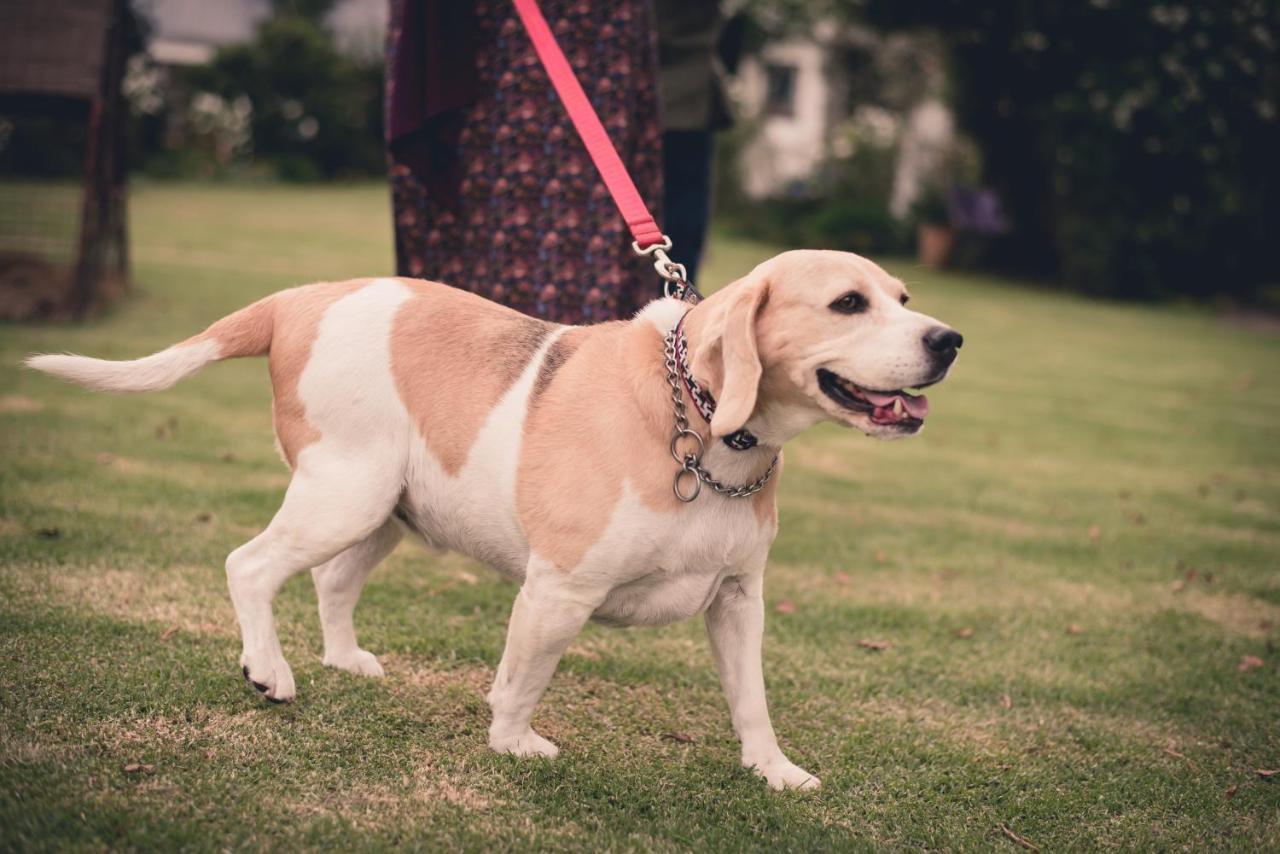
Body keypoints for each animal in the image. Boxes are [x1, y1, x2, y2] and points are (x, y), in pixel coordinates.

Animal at [24, 250, 962, 793]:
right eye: (848, 304)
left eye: (903, 297)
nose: (948, 340)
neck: (698, 417)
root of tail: (299, 300)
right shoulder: (559, 592)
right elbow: (521, 681)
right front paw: (513, 746)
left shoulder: (738, 602)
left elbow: (752, 701)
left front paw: (773, 770)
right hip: (344, 494)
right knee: (248, 566)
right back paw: (270, 670)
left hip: (383, 509)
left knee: (329, 581)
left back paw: (343, 659)